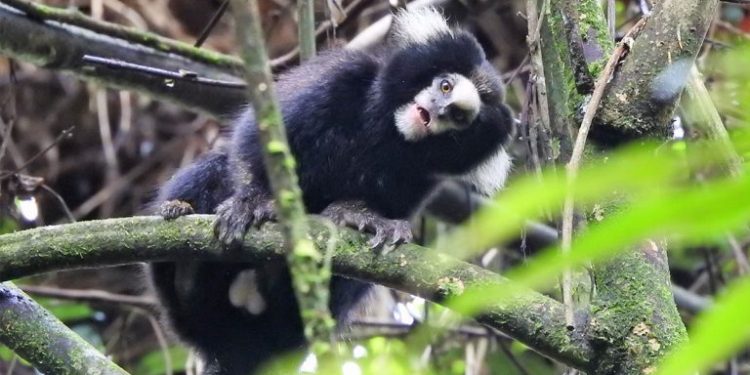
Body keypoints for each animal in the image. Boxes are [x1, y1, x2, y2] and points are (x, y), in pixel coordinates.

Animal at [151, 6, 516, 375]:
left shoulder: (424, 176)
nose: (439, 111)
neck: (385, 129)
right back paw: (181, 236)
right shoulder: (340, 76)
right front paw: (251, 203)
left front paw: (358, 216)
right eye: (444, 85)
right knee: (215, 166)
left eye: (458, 116)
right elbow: (257, 139)